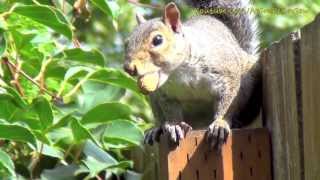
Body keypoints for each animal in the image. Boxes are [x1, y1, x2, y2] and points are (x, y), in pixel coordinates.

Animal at [124, 0, 262, 149]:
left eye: (158, 40)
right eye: (127, 42)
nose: (128, 68)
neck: (178, 73)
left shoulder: (227, 74)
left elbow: (227, 102)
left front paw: (220, 123)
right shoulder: (165, 94)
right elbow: (171, 112)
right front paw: (175, 126)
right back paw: (157, 129)